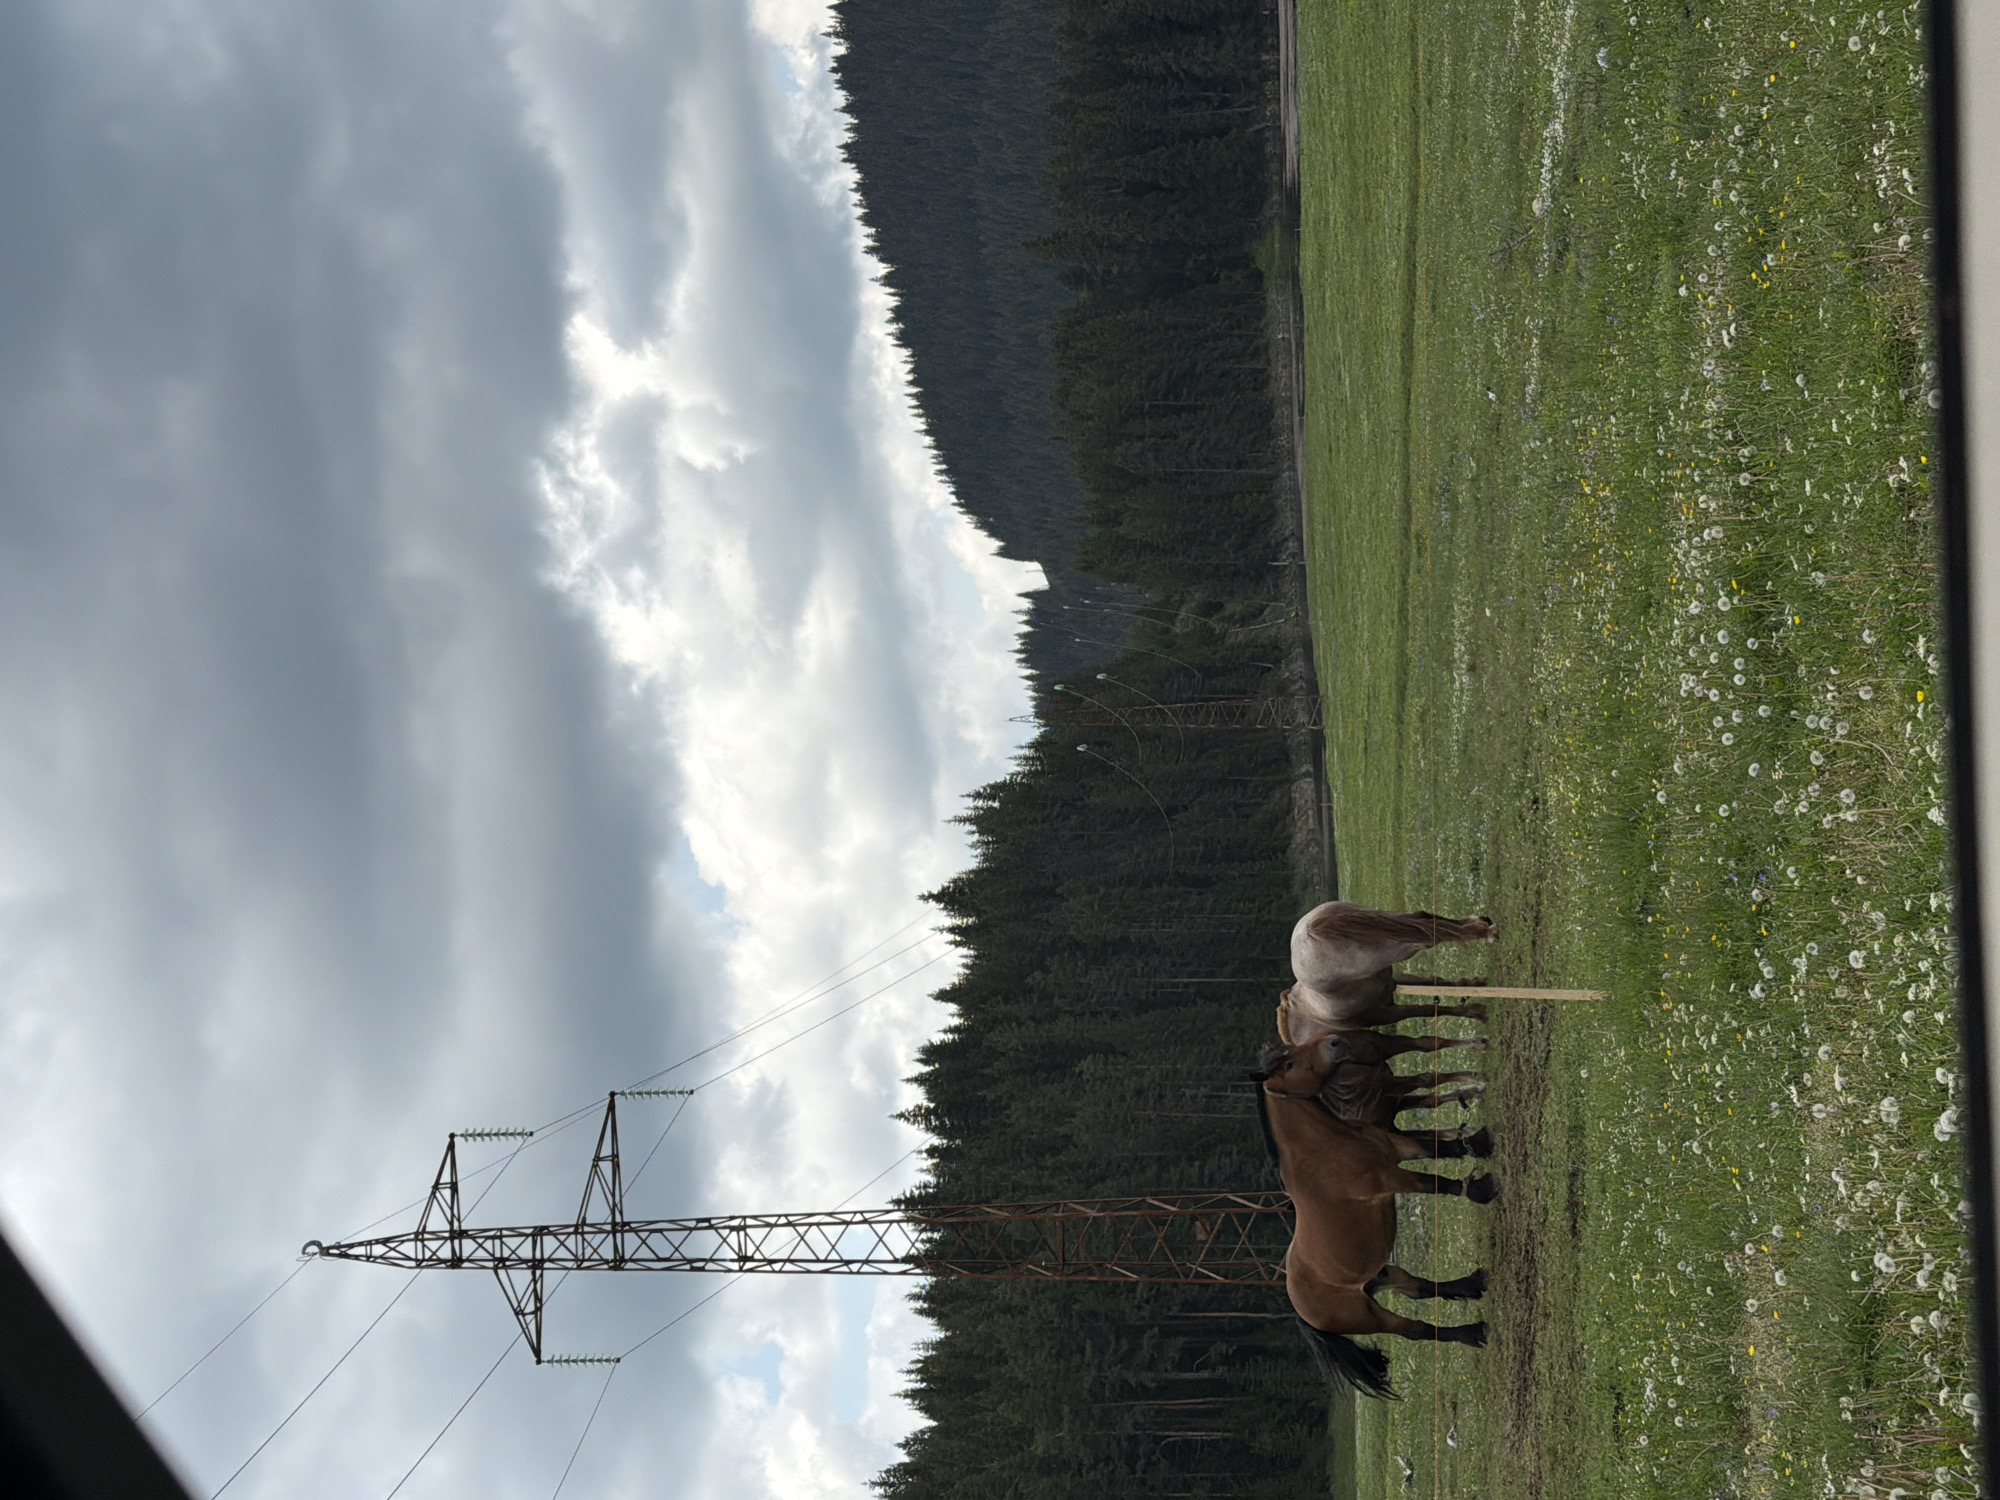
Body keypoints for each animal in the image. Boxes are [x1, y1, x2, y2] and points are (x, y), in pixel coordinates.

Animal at [1249, 1034, 1496, 1397]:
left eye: (1292, 1052)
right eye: (1290, 1064)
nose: (1335, 1041)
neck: (1325, 1150)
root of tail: (1300, 1311)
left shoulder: (1399, 1148)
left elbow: (1443, 1149)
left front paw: (1481, 1140)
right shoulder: (1390, 1178)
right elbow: (1438, 1183)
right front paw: (1483, 1188)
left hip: (1381, 1276)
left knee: (1420, 1289)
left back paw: (1473, 1285)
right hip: (1371, 1317)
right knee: (1416, 1330)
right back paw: (1473, 1332)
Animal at [1278, 901, 1499, 1043]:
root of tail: (1309, 930)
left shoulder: (1384, 1013)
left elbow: (1427, 1009)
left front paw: (1476, 1011)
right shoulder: (1390, 982)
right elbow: (1435, 986)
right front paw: (1474, 988)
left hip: (1398, 945)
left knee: (1430, 934)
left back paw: (1484, 930)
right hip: (1388, 925)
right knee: (1422, 918)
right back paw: (1482, 924)